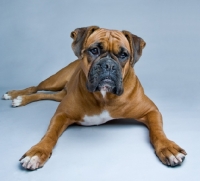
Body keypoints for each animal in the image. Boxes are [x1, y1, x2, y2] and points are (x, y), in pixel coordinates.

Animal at [1, 25, 187, 170]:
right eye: (94, 50)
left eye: (123, 55)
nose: (109, 65)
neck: (104, 96)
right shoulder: (61, 115)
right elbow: (50, 134)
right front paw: (38, 152)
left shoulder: (151, 111)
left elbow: (157, 131)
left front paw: (168, 148)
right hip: (53, 81)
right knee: (35, 87)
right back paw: (16, 95)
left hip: (60, 93)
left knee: (45, 94)